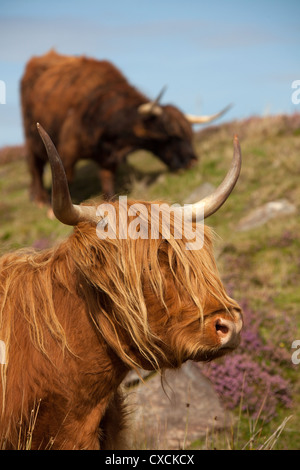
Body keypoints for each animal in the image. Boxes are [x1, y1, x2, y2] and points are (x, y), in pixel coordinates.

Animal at [20, 50, 232, 204]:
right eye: (171, 135)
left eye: (190, 134)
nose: (192, 161)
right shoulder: (67, 149)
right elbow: (65, 177)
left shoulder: (108, 159)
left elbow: (107, 182)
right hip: (32, 137)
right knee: (34, 166)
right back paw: (39, 199)